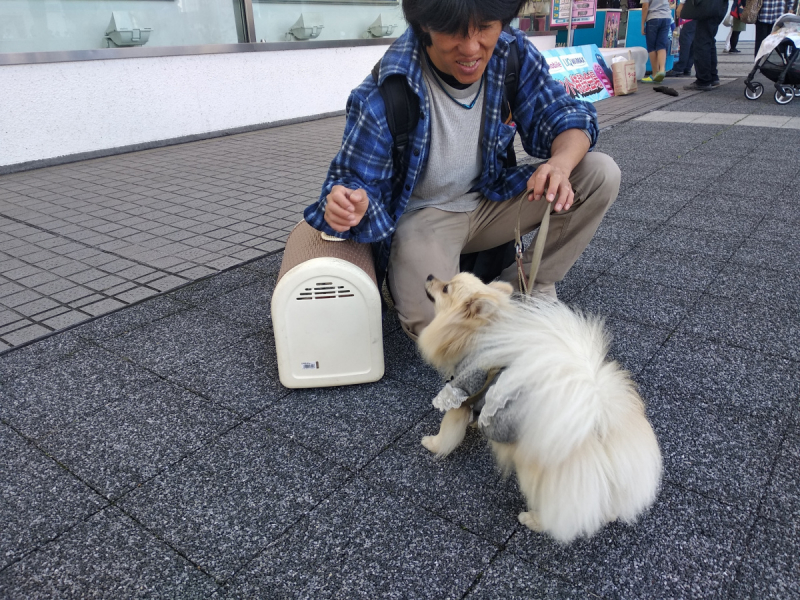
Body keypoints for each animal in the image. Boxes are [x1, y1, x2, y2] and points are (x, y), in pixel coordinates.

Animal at [418, 272, 664, 544]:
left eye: (445, 288)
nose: (429, 275)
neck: (476, 333)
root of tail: (598, 423)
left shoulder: (461, 390)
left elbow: (447, 431)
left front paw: (432, 443)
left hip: (535, 472)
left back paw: (532, 520)